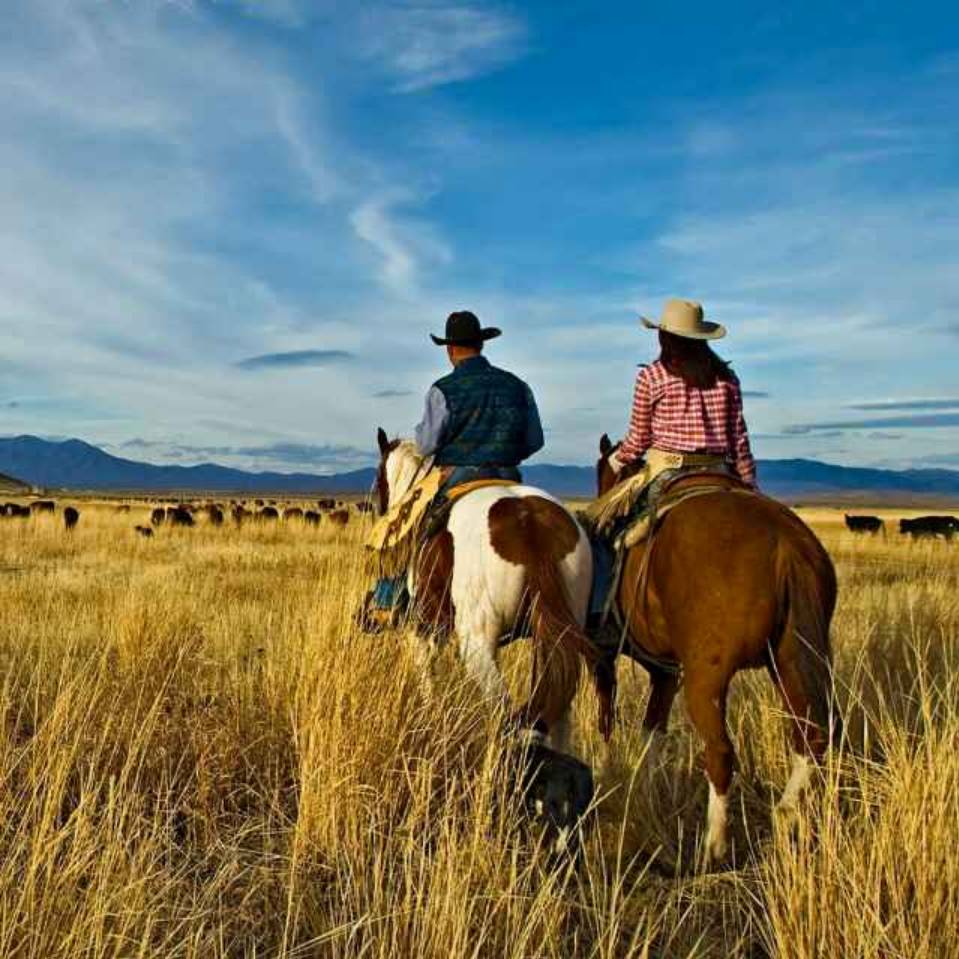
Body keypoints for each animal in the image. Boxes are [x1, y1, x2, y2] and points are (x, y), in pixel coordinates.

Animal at [376, 426, 616, 752]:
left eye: (379, 480)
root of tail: (531, 526)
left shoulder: (426, 626)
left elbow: (427, 677)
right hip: (557, 638)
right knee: (557, 716)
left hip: (477, 643)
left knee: (504, 712)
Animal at [596, 436, 836, 864]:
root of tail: (786, 546)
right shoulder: (665, 671)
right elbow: (652, 731)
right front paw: (644, 788)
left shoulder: (609, 657)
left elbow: (609, 716)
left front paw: (609, 772)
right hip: (792, 660)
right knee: (813, 735)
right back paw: (786, 816)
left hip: (706, 678)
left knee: (721, 752)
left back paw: (714, 845)